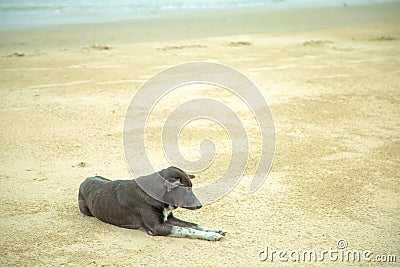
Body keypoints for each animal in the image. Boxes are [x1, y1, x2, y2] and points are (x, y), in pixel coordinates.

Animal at [78, 168, 225, 241]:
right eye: (186, 190)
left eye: (191, 188)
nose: (200, 205)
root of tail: (85, 180)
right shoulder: (158, 227)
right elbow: (186, 230)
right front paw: (211, 235)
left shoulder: (169, 219)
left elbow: (193, 225)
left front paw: (213, 230)